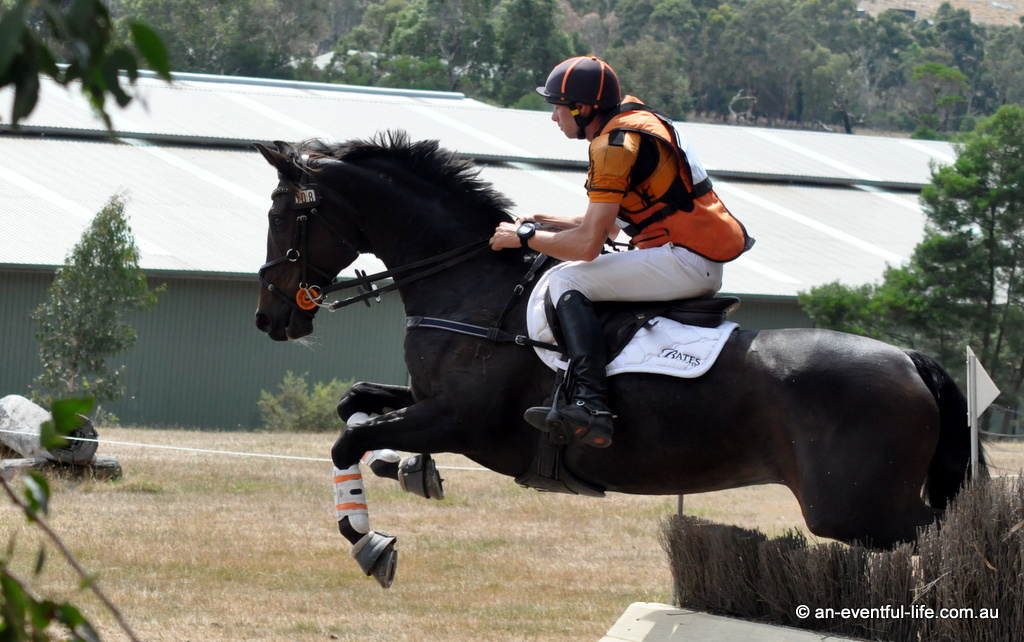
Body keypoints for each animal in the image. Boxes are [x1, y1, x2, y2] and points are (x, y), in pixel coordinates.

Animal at [253, 132, 979, 589]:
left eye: (282, 214)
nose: (269, 317)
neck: (470, 284)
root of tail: (910, 358)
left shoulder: (464, 421)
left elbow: (348, 439)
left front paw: (368, 540)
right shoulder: (431, 403)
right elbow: (356, 404)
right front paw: (407, 469)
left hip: (857, 508)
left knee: (948, 536)